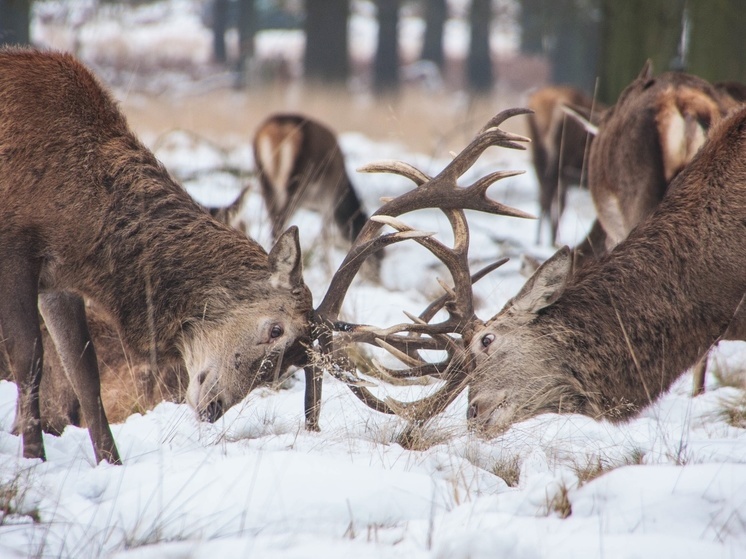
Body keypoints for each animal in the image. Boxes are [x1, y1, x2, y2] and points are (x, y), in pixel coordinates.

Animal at [0, 48, 312, 466]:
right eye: (276, 329)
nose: (213, 408)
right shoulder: (14, 251)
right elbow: (28, 360)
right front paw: (33, 458)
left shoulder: (58, 278)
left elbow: (84, 371)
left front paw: (111, 462)